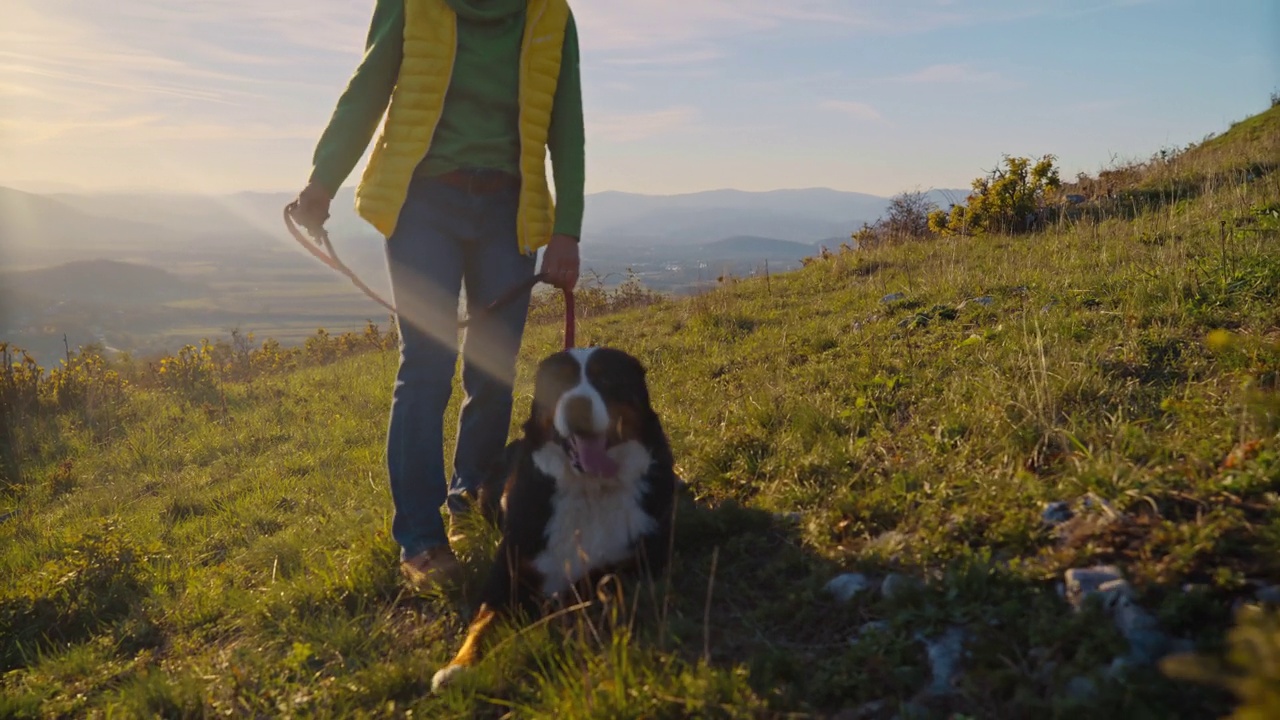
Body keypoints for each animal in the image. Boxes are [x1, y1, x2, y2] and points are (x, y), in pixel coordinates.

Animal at [432, 345, 680, 691]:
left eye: (607, 379)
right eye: (558, 384)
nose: (577, 405)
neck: (588, 489)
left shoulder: (636, 567)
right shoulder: (506, 573)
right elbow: (484, 621)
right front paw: (459, 666)